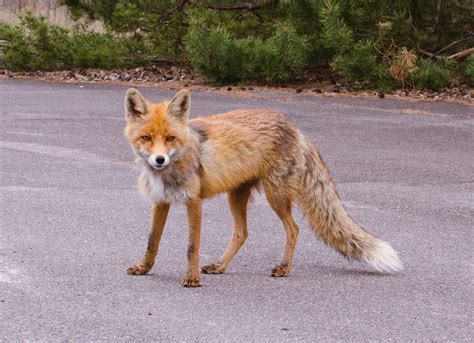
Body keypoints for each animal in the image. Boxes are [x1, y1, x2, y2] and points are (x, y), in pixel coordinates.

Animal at [124, 88, 402, 288]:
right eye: (146, 138)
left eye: (170, 138)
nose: (159, 160)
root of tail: (295, 129)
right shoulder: (161, 201)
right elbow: (152, 241)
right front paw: (144, 268)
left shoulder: (194, 201)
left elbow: (192, 246)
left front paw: (192, 279)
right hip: (236, 196)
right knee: (241, 233)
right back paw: (220, 266)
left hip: (275, 195)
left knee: (293, 228)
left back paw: (284, 268)